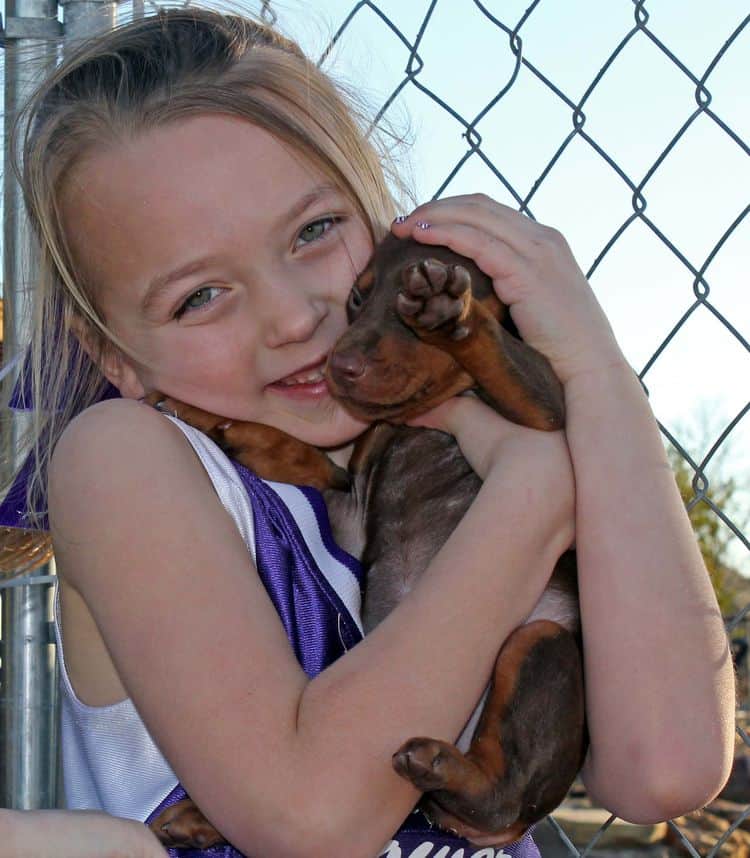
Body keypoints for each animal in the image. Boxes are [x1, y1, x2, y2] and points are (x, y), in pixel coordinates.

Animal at [148, 231, 588, 844]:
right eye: (356, 299)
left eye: (400, 305)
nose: (341, 364)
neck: (419, 422)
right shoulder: (348, 508)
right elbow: (299, 454)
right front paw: (212, 417)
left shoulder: (547, 412)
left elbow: (509, 366)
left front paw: (450, 312)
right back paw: (199, 817)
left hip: (540, 640)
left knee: (499, 795)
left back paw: (442, 767)